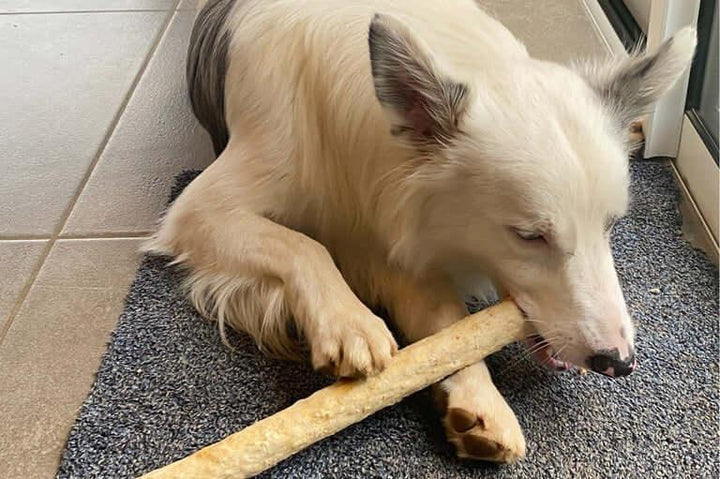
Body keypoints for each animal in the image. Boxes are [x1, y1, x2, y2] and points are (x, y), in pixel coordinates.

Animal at [148, 0, 696, 464]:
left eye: (612, 225)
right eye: (528, 236)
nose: (618, 362)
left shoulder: (395, 241)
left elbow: (447, 324)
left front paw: (480, 400)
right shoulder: (200, 208)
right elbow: (303, 245)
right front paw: (348, 322)